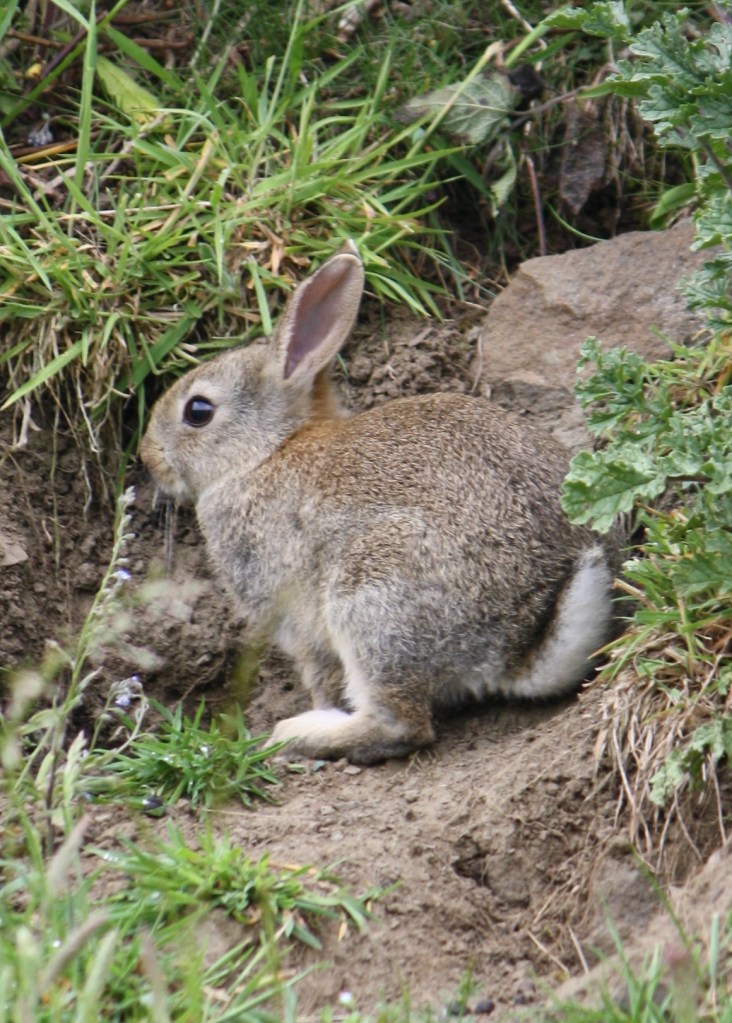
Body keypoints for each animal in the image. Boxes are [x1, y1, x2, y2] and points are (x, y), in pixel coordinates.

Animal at [140, 240, 615, 765]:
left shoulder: (294, 616)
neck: (265, 452)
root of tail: (520, 640)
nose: (147, 456)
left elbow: (319, 673)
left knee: (401, 724)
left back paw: (296, 733)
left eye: (198, 411)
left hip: (372, 595)